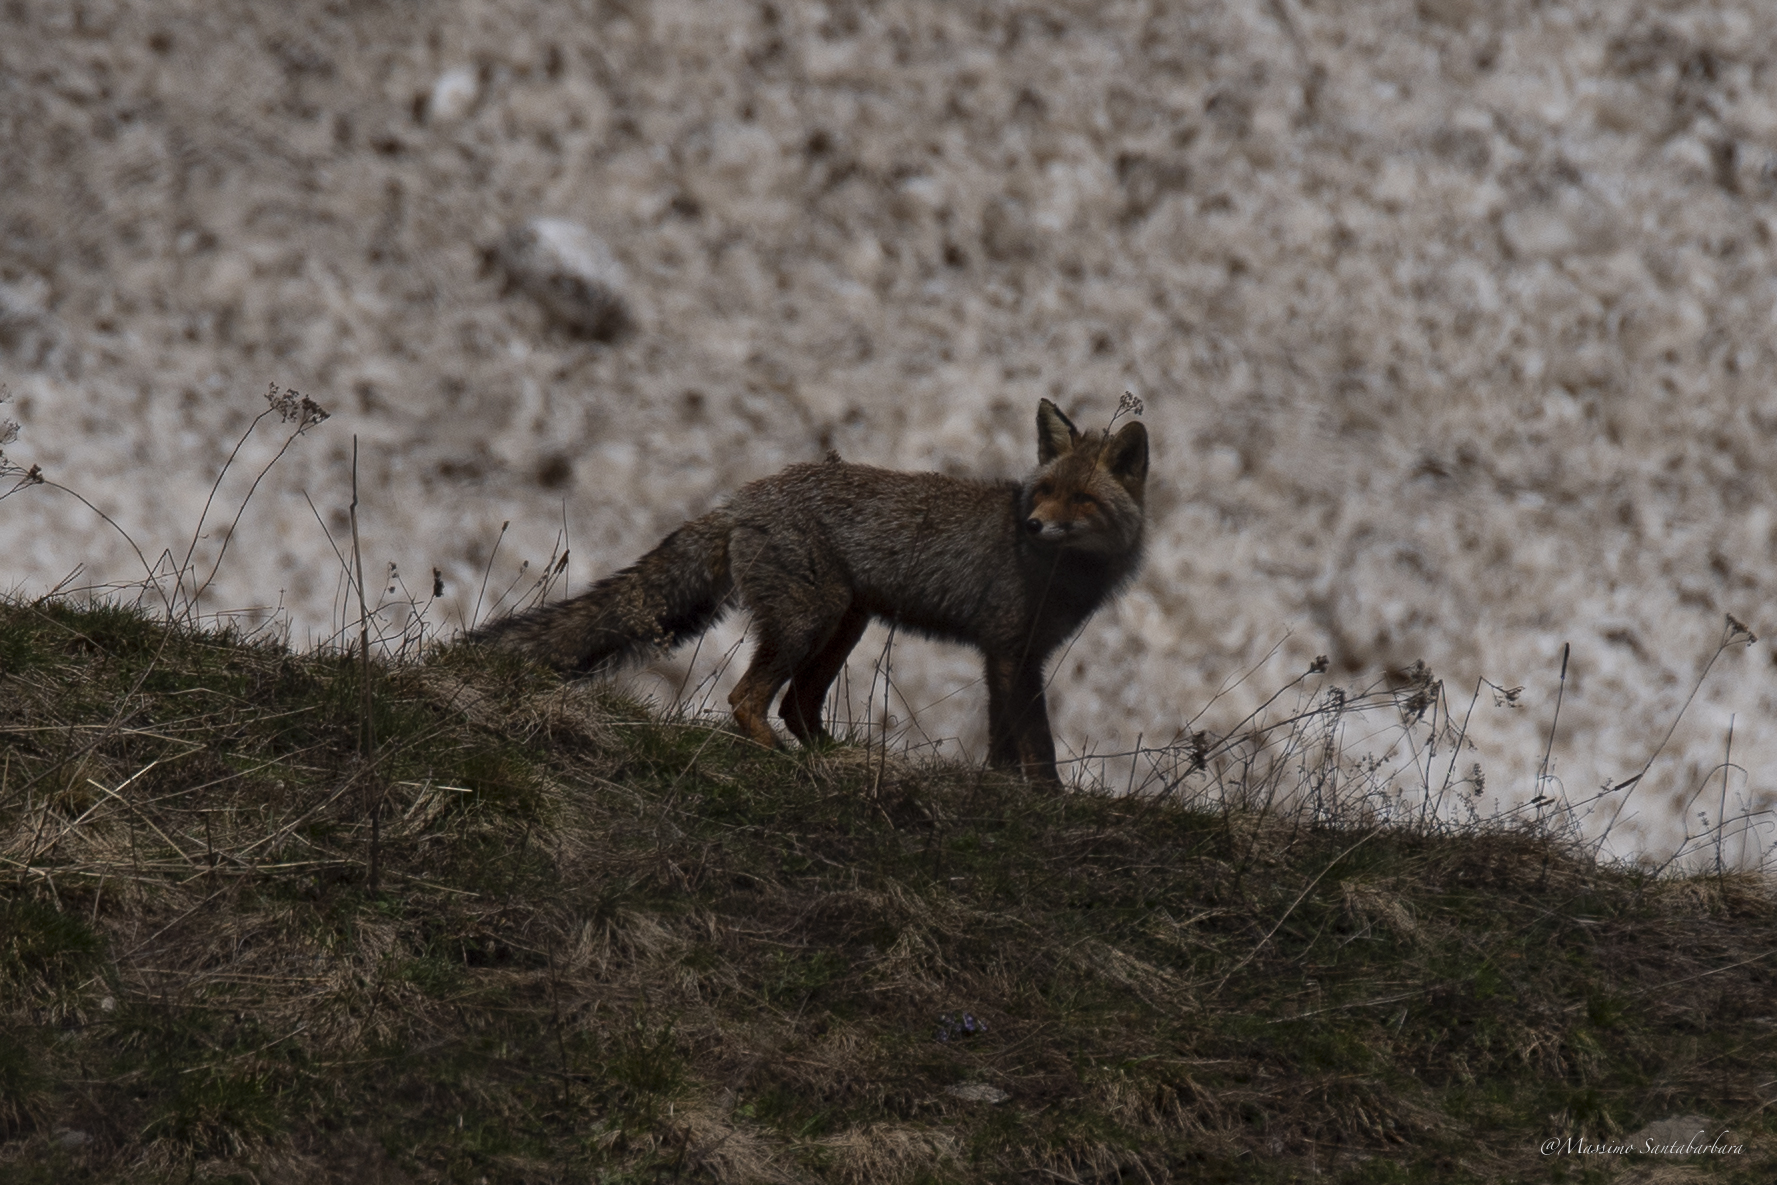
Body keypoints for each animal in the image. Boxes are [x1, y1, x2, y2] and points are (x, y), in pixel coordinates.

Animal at [473, 400, 1148, 781]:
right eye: (1044, 492)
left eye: (1080, 499)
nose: (1031, 524)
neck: (1058, 572)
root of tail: (742, 498)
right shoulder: (1012, 650)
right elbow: (1037, 741)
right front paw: (1046, 796)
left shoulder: (1006, 654)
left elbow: (1006, 738)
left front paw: (1005, 786)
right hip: (808, 620)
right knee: (748, 698)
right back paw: (780, 759)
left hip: (844, 623)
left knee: (797, 704)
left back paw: (837, 759)